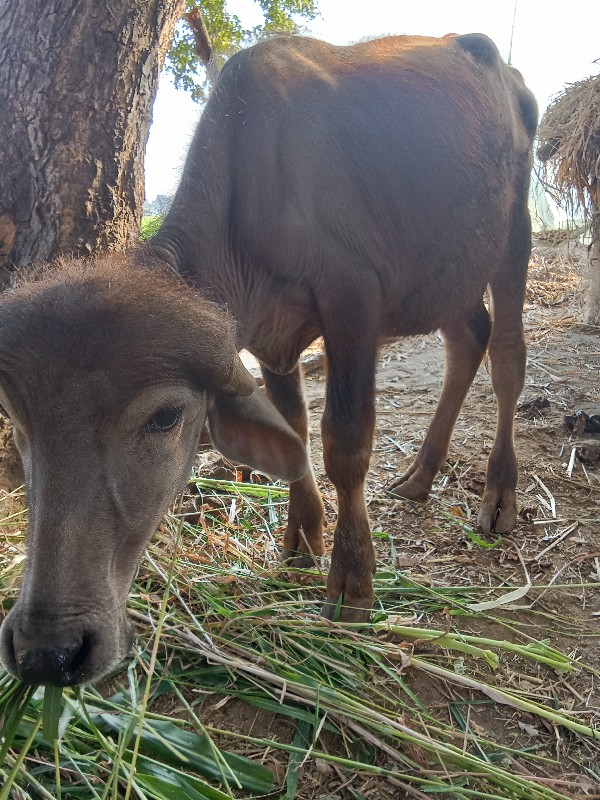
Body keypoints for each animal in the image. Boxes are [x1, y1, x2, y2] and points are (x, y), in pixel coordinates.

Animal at [0, 34, 536, 688]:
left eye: (165, 417)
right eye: (18, 423)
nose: (48, 650)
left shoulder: (352, 300)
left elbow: (343, 444)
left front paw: (352, 583)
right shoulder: (269, 339)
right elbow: (295, 432)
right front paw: (301, 539)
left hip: (512, 238)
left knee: (507, 356)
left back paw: (499, 494)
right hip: (447, 272)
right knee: (467, 339)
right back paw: (420, 474)